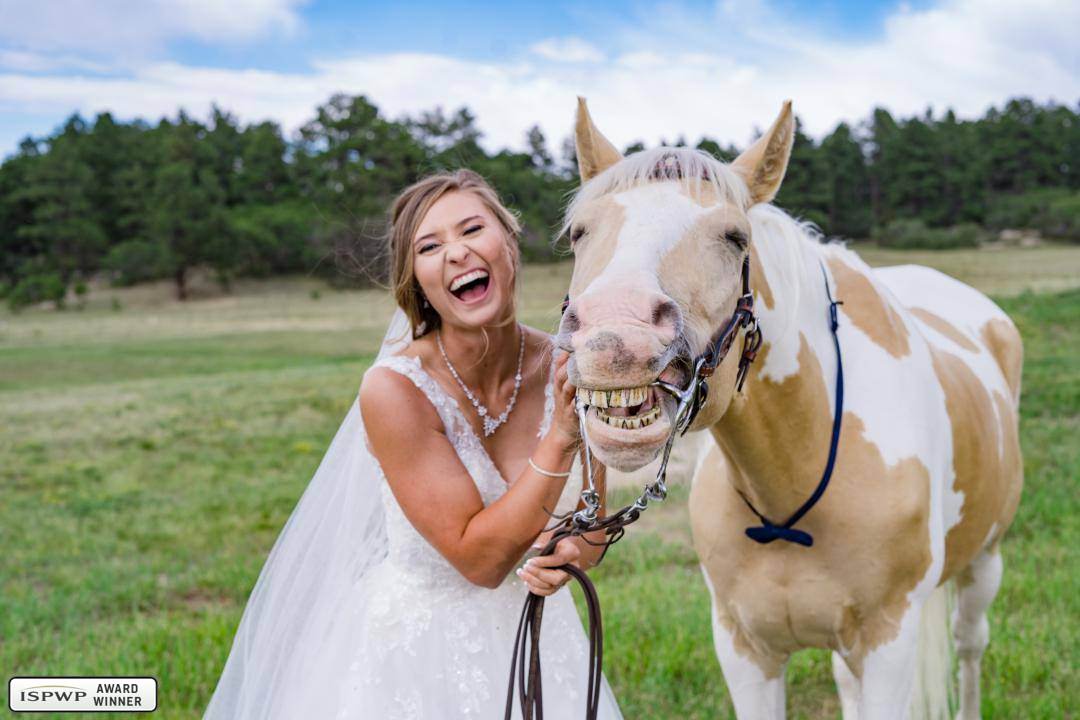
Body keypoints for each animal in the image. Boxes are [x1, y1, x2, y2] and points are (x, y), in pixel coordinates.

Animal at [561, 97, 1023, 720]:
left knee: (970, 646)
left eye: (735, 237)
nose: (614, 340)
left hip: (984, 562)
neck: (790, 491)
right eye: (579, 233)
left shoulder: (888, 649)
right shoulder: (745, 651)